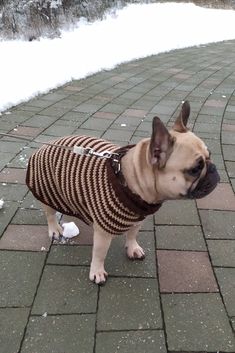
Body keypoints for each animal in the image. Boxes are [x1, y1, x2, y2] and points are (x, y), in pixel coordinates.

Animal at [26, 101, 219, 284]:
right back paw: (55, 230)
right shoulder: (103, 233)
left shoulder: (138, 219)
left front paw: (133, 248)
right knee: (50, 214)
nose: (214, 169)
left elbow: (132, 234)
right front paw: (97, 272)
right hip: (47, 191)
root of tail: (42, 147)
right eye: (195, 169)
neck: (129, 177)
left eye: (209, 155)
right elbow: (100, 253)